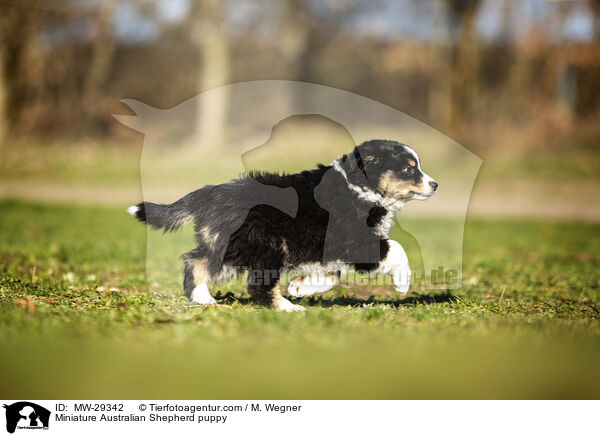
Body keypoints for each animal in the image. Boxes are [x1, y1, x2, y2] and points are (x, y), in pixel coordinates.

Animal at [129, 139, 436, 310]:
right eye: (408, 169)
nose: (434, 184)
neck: (357, 186)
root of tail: (212, 193)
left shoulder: (326, 248)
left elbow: (333, 275)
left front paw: (301, 287)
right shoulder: (355, 241)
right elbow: (396, 249)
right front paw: (402, 286)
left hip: (230, 248)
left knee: (196, 261)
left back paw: (203, 299)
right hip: (266, 245)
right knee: (255, 285)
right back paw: (286, 309)